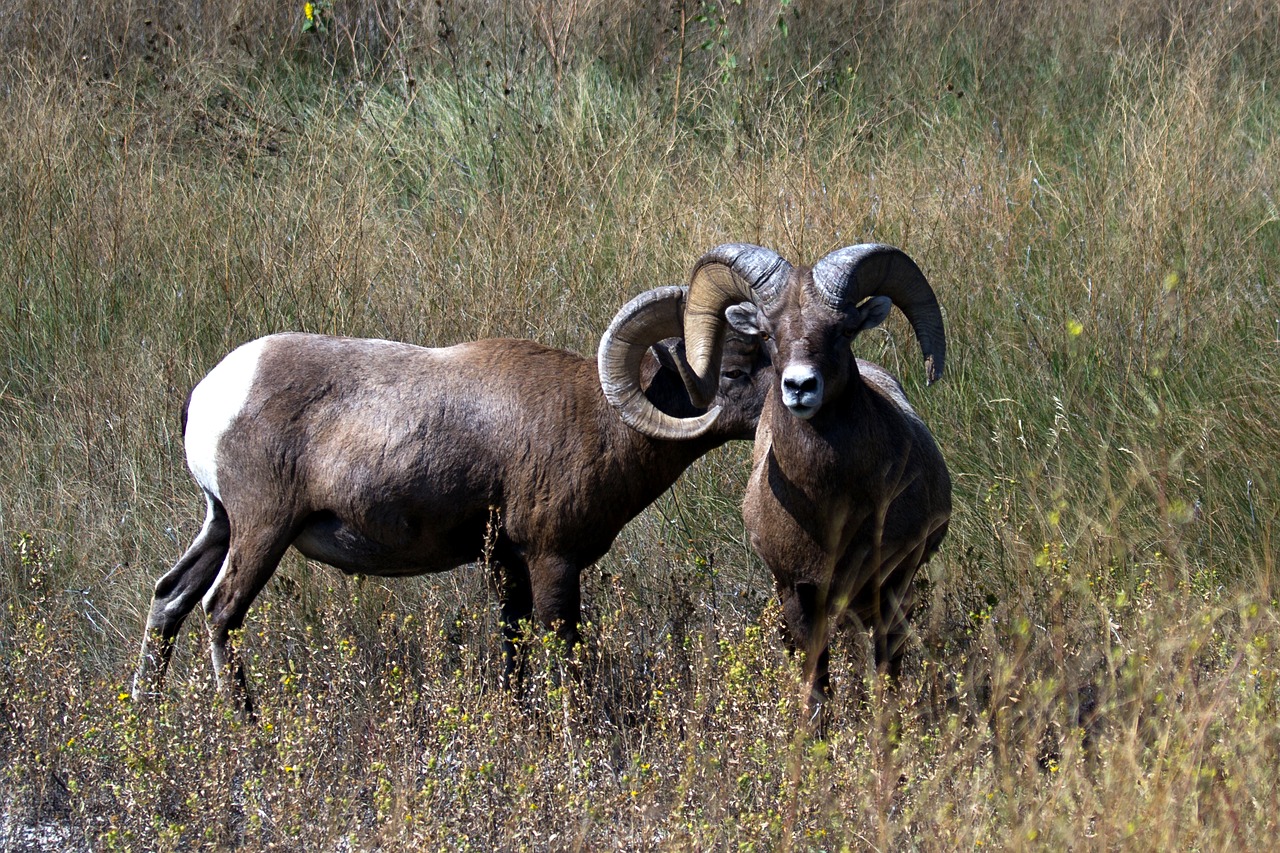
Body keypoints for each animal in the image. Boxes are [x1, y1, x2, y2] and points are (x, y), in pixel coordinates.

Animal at [129, 285, 768, 712]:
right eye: (735, 370)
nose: (789, 399)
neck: (603, 421)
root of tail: (210, 392)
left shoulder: (506, 566)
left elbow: (515, 648)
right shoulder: (552, 560)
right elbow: (562, 654)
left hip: (220, 525)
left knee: (169, 599)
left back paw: (145, 718)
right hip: (261, 531)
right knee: (220, 611)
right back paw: (245, 725)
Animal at [609, 244, 952, 712]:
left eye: (844, 330)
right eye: (769, 334)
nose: (800, 386)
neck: (831, 514)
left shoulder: (893, 587)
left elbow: (886, 679)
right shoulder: (798, 593)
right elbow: (816, 689)